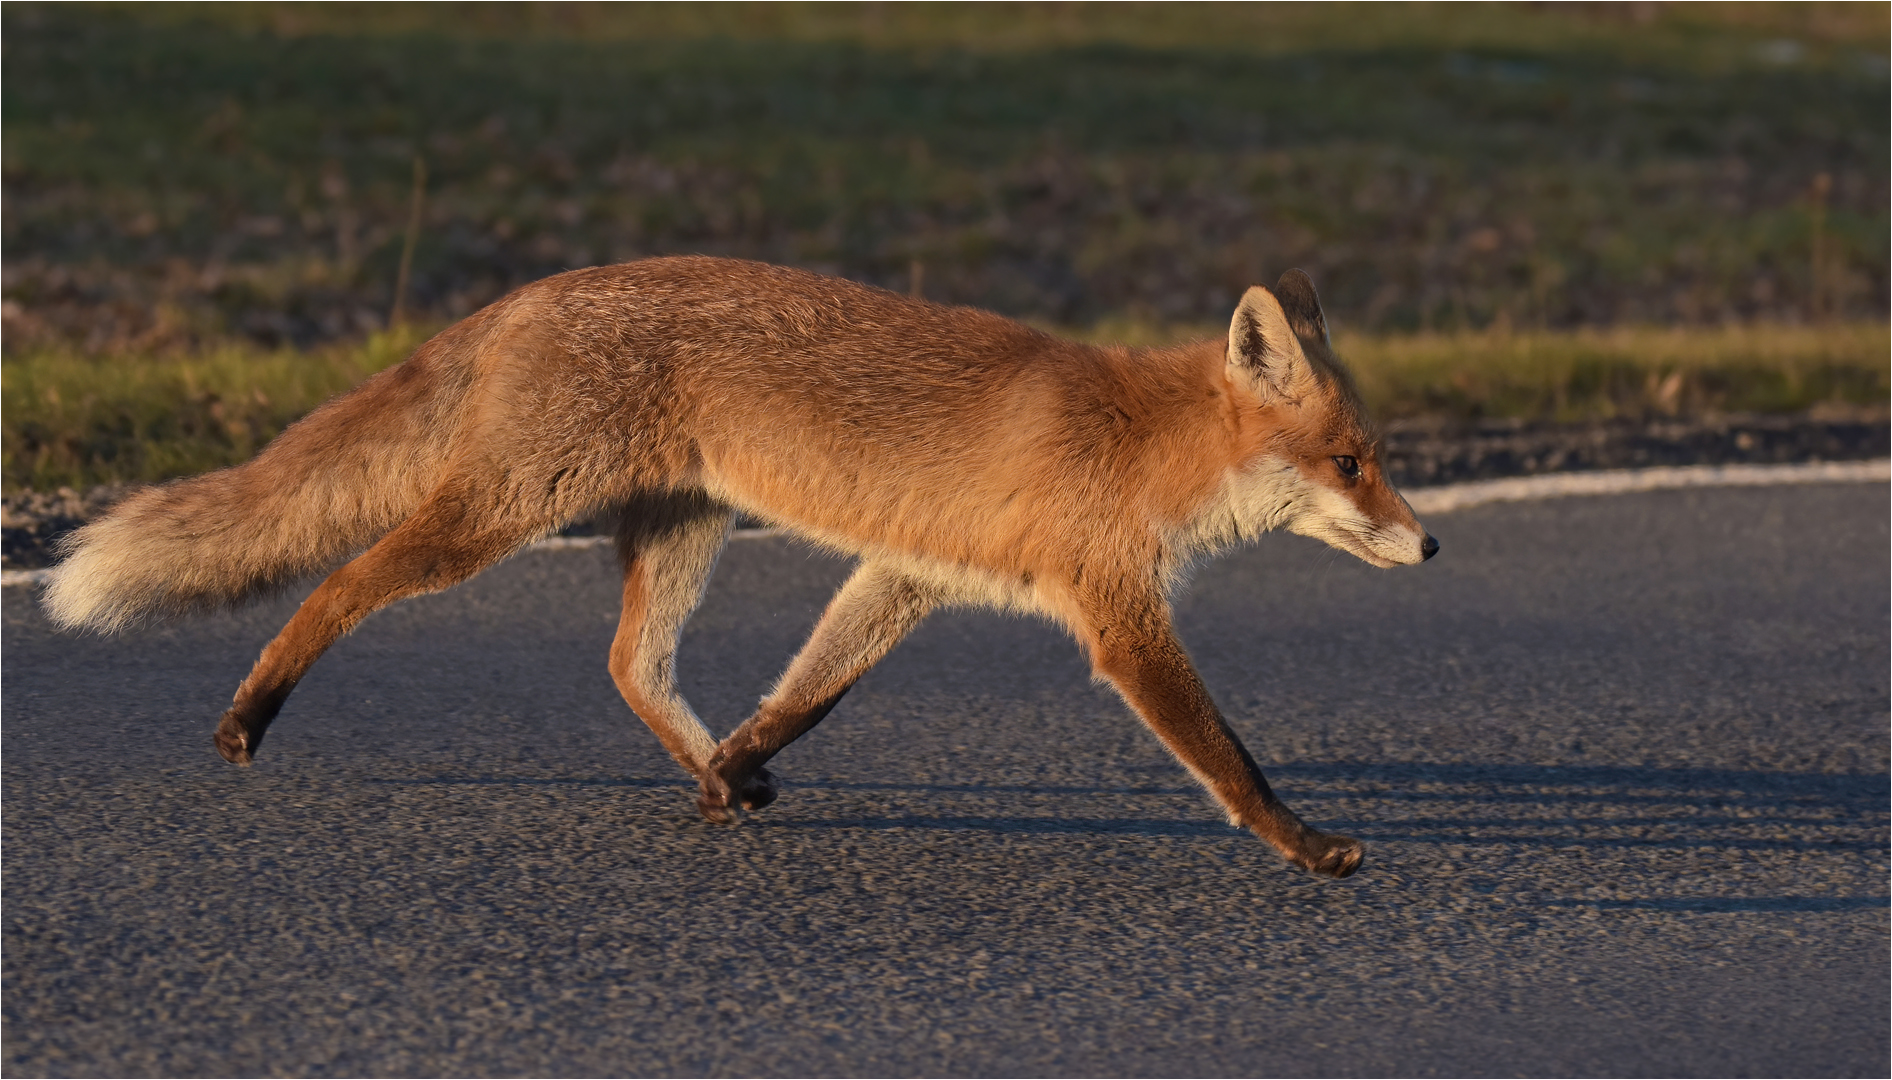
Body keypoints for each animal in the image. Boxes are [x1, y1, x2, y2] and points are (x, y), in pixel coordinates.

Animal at [44, 259, 1430, 877]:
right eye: (1351, 461)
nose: (1431, 543)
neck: (1139, 444)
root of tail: (535, 287)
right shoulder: (1115, 616)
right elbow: (1228, 756)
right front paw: (1306, 844)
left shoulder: (905, 575)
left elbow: (805, 695)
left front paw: (739, 766)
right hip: (501, 515)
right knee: (339, 584)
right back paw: (248, 712)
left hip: (682, 529)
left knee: (626, 662)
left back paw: (715, 776)